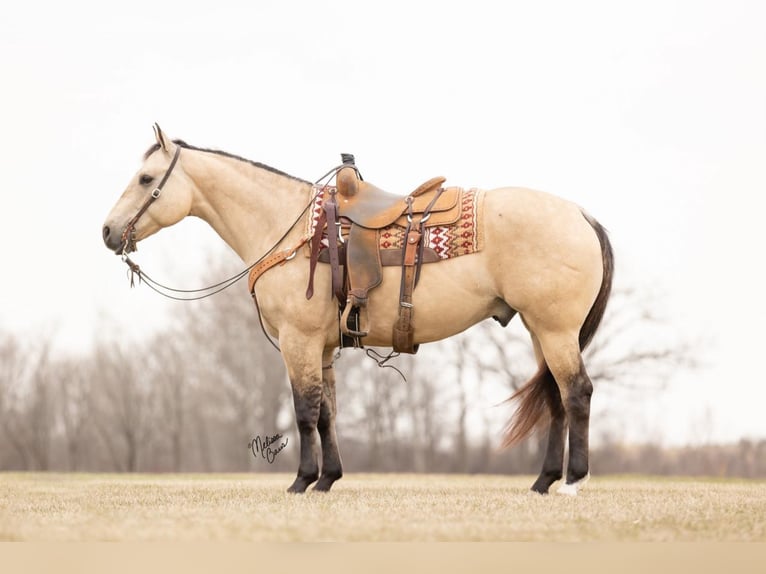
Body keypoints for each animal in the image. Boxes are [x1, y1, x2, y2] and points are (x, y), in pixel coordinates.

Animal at [103, 125, 616, 496]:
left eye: (146, 179)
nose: (108, 231)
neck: (289, 230)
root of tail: (582, 215)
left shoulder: (298, 341)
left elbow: (304, 411)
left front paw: (301, 481)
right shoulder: (322, 347)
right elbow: (327, 412)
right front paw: (328, 479)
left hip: (555, 330)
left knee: (577, 394)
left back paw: (572, 481)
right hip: (540, 331)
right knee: (556, 399)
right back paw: (544, 481)